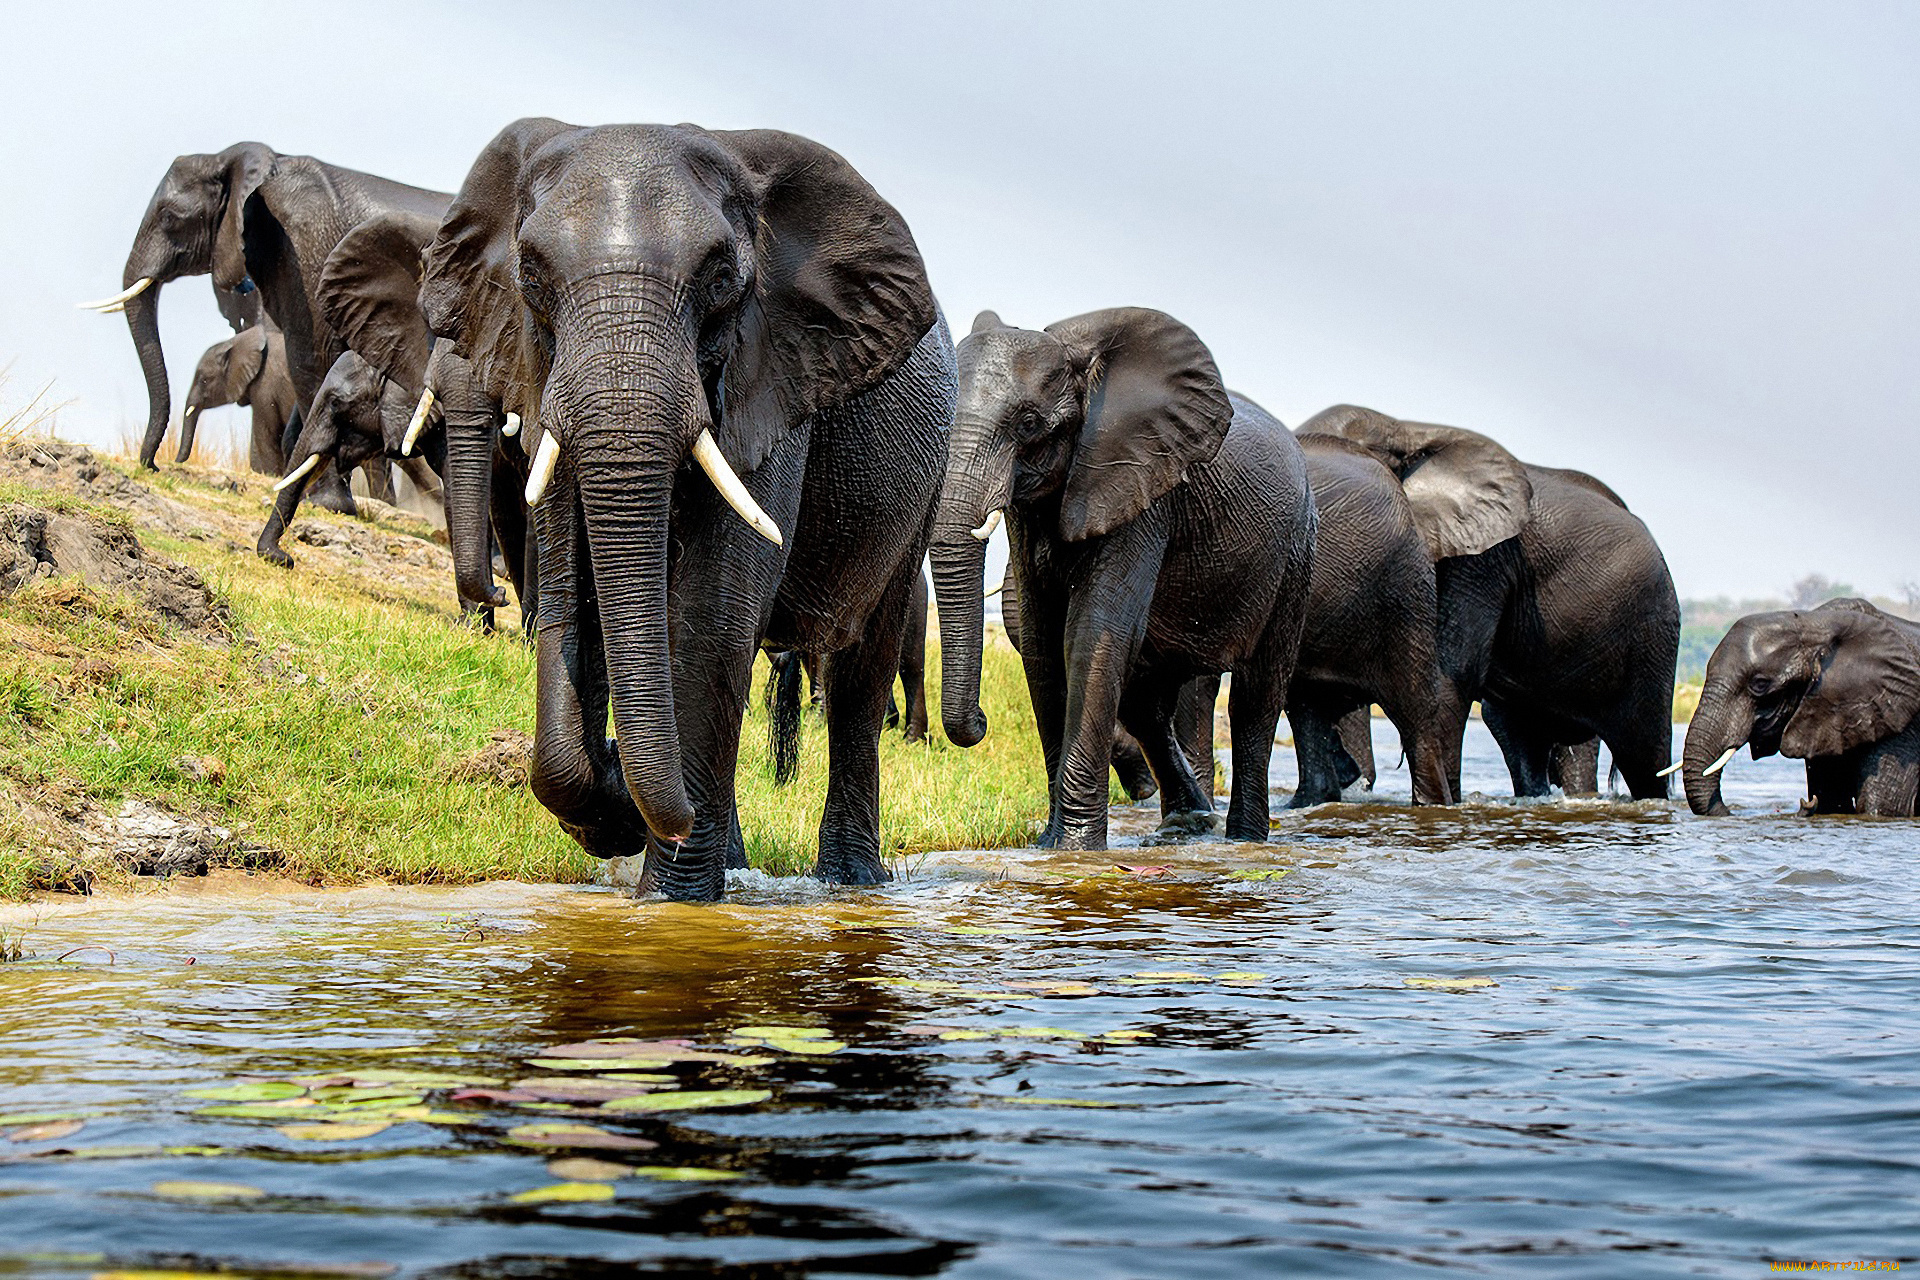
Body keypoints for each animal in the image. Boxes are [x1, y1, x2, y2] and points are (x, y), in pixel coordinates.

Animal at [424, 119, 956, 901]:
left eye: (721, 277)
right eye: (532, 276)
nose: (649, 811)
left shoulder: (772, 377)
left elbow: (710, 619)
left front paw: (668, 899)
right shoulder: (540, 369)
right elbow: (569, 600)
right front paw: (615, 811)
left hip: (922, 487)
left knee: (864, 663)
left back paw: (851, 885)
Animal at [933, 307, 1320, 852]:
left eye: (1029, 424)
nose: (981, 721)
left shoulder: (1143, 487)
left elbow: (1092, 633)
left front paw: (1074, 850)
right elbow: (1041, 643)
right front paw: (1049, 845)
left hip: (1295, 553)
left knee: (1257, 695)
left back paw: (1243, 840)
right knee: (1145, 703)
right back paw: (1188, 822)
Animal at [1290, 404, 1681, 802]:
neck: (1409, 429)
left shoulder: (1485, 560)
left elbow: (1452, 674)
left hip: (1652, 630)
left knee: (1644, 754)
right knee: (1517, 732)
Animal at [1681, 594, 1920, 817]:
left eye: (1760, 684)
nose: (1806, 802)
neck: (1817, 623)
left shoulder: (1901, 717)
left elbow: (1882, 806)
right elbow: (1832, 799)